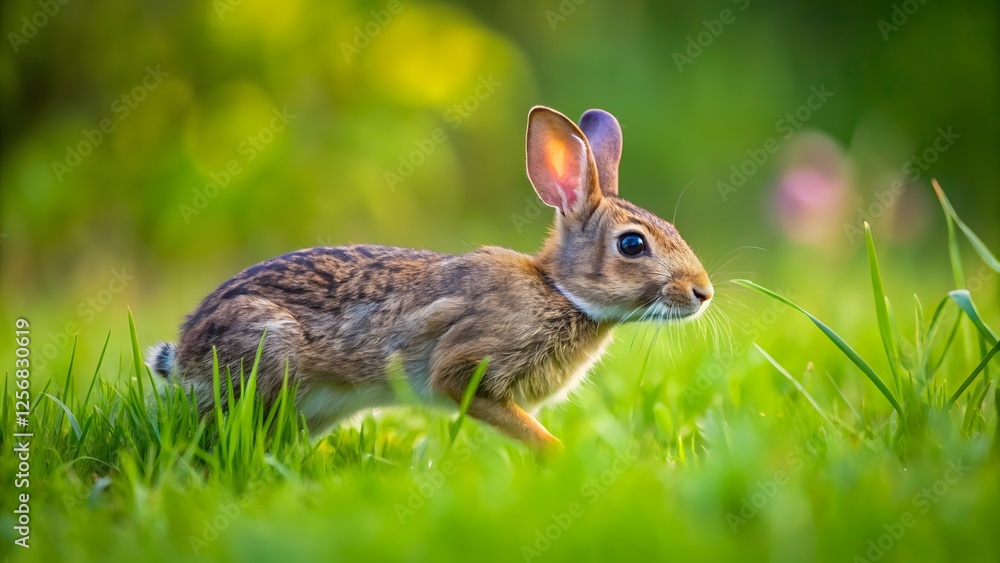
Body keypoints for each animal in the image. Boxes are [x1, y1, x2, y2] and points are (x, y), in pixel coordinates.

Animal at [147, 106, 713, 452]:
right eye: (632, 245)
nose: (702, 292)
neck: (560, 292)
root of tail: (183, 354)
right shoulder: (466, 371)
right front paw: (557, 455)